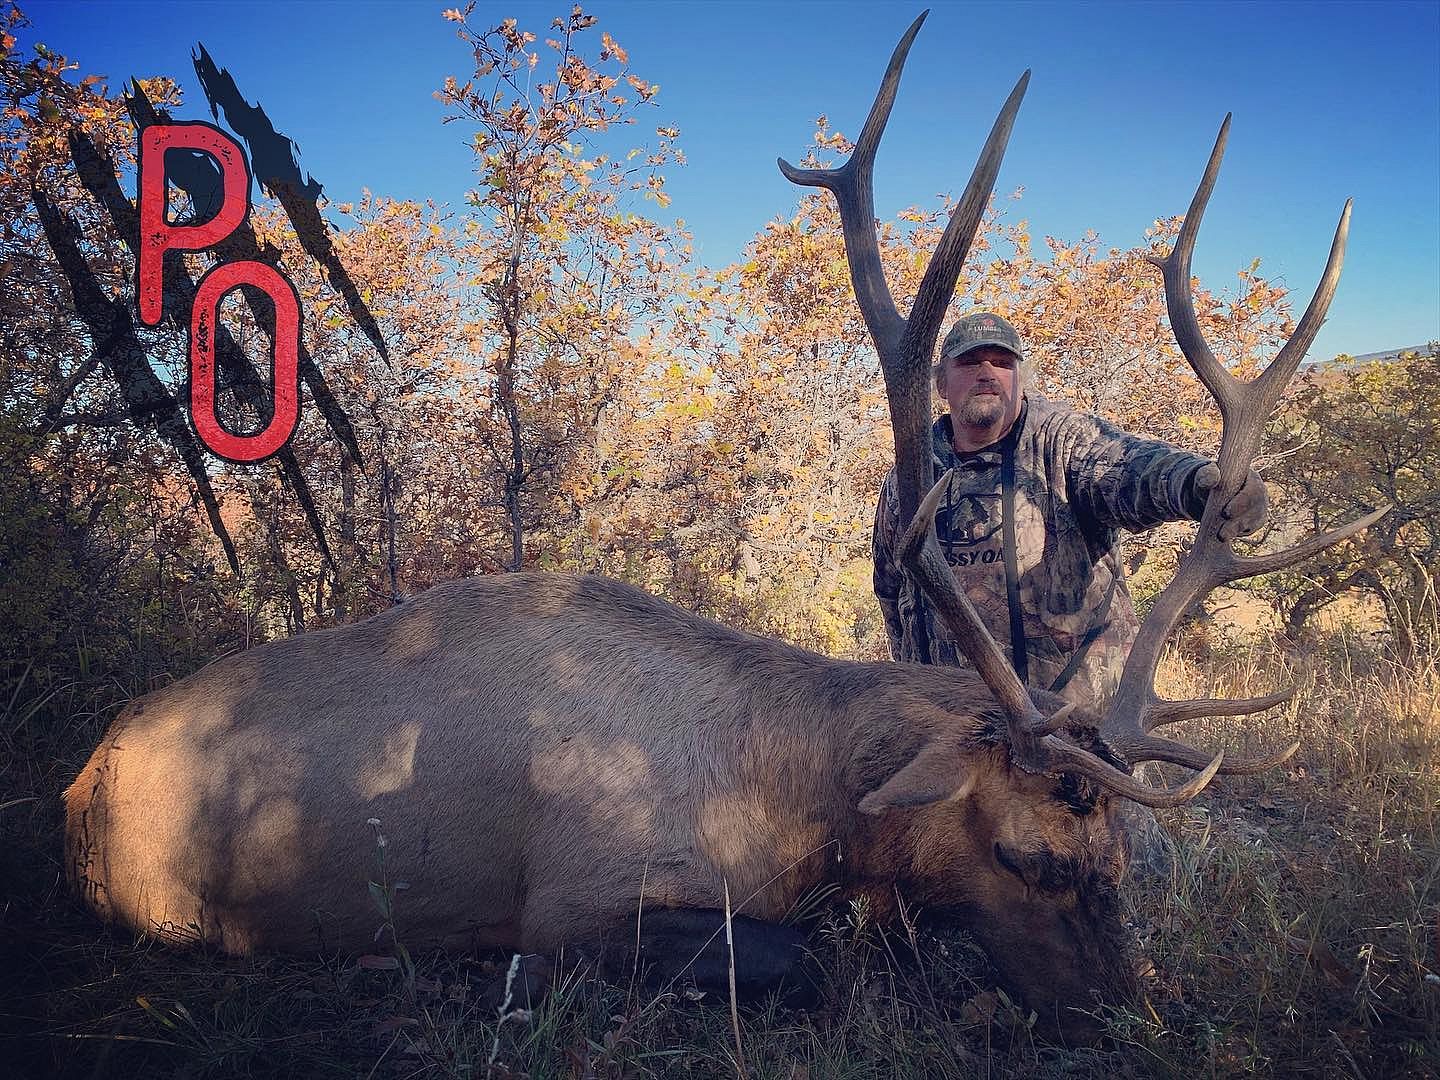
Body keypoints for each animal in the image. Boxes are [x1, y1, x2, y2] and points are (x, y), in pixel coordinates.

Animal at [63, 11, 1386, 1045]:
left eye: (1119, 861)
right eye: (1031, 860)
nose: (1135, 1016)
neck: (789, 801)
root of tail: (78, 782)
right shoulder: (580, 901)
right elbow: (813, 959)